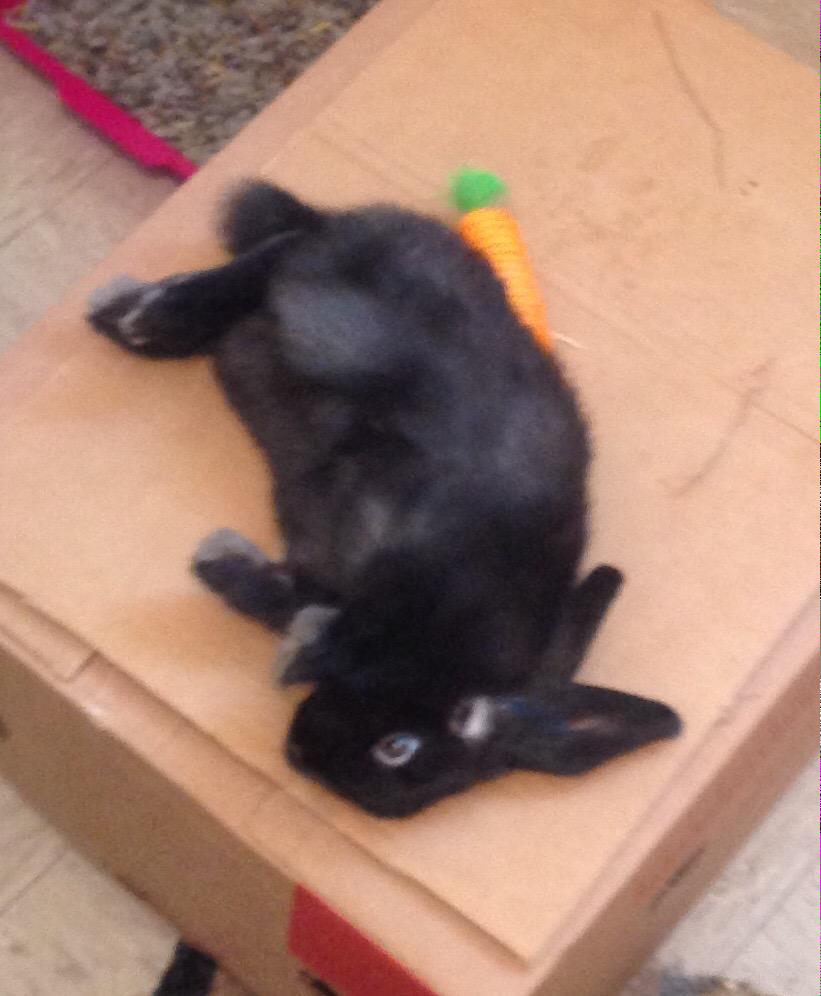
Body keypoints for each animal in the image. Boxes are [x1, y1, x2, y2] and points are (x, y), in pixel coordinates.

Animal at [86, 181, 681, 818]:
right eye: (398, 747)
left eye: (390, 762)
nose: (298, 753)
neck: (445, 646)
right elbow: (315, 622)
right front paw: (250, 600)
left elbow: (294, 601)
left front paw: (226, 569)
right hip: (338, 317)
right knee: (281, 253)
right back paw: (145, 318)